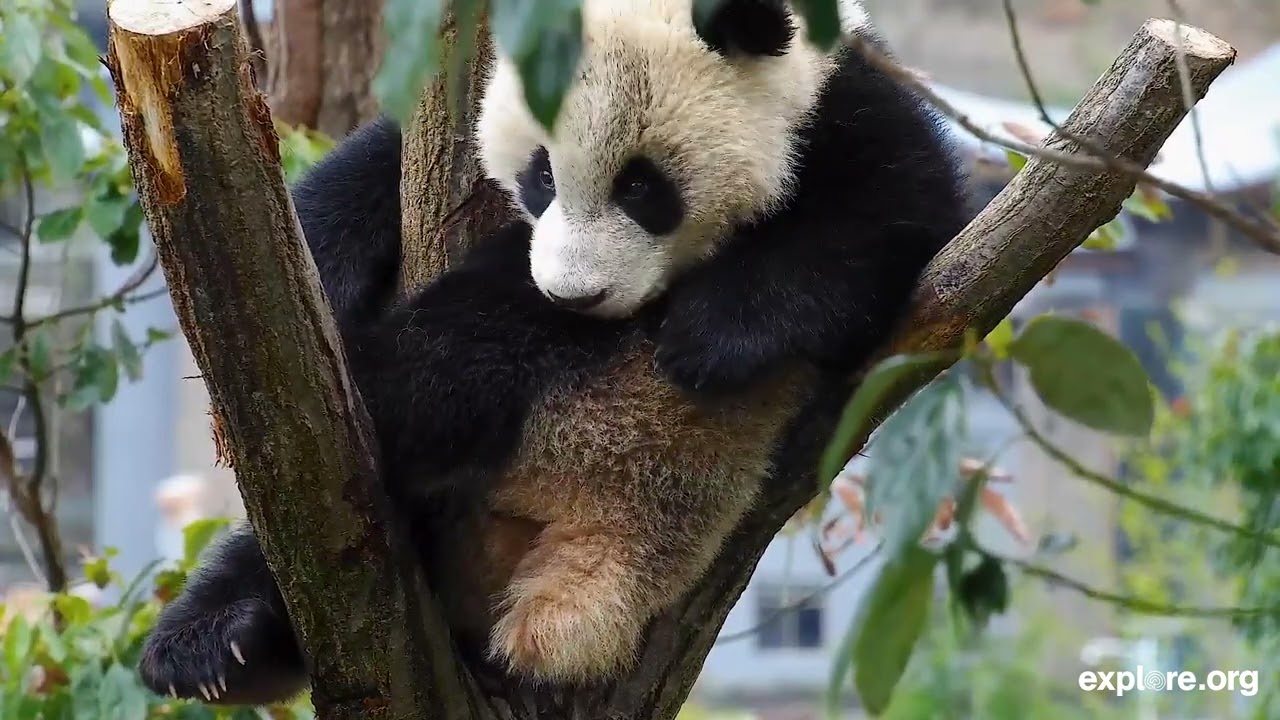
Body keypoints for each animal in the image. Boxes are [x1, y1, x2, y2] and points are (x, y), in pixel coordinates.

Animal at [137, 0, 969, 705]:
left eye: (642, 186)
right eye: (539, 175)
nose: (574, 295)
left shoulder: (846, 103)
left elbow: (893, 214)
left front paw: (711, 337)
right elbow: (360, 175)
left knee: (452, 357)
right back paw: (218, 644)